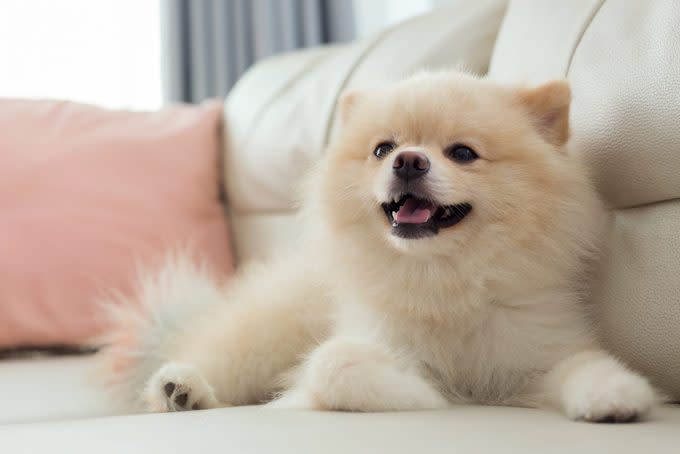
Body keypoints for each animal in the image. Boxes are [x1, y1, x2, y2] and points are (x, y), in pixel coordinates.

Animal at [101, 71, 660, 422]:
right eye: (382, 148)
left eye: (463, 153)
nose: (408, 160)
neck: (444, 279)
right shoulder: (365, 340)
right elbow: (334, 366)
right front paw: (427, 394)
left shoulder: (537, 352)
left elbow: (586, 365)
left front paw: (618, 395)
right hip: (269, 333)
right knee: (216, 358)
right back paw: (181, 387)